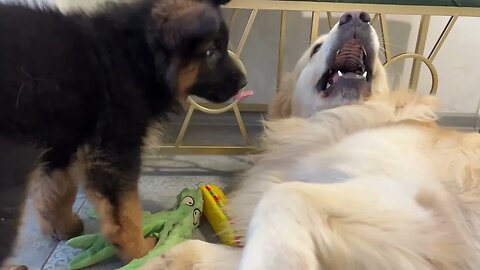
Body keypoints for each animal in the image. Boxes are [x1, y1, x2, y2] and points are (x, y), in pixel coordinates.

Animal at [0, 0, 246, 266]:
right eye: (211, 52)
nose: (244, 82)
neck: (140, 57)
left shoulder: (62, 142)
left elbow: (57, 191)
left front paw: (62, 227)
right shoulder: (117, 151)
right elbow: (127, 212)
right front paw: (140, 250)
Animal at [139, 11, 480, 268]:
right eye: (316, 48)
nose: (356, 15)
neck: (338, 122)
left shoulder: (413, 204)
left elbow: (283, 196)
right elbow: (190, 248)